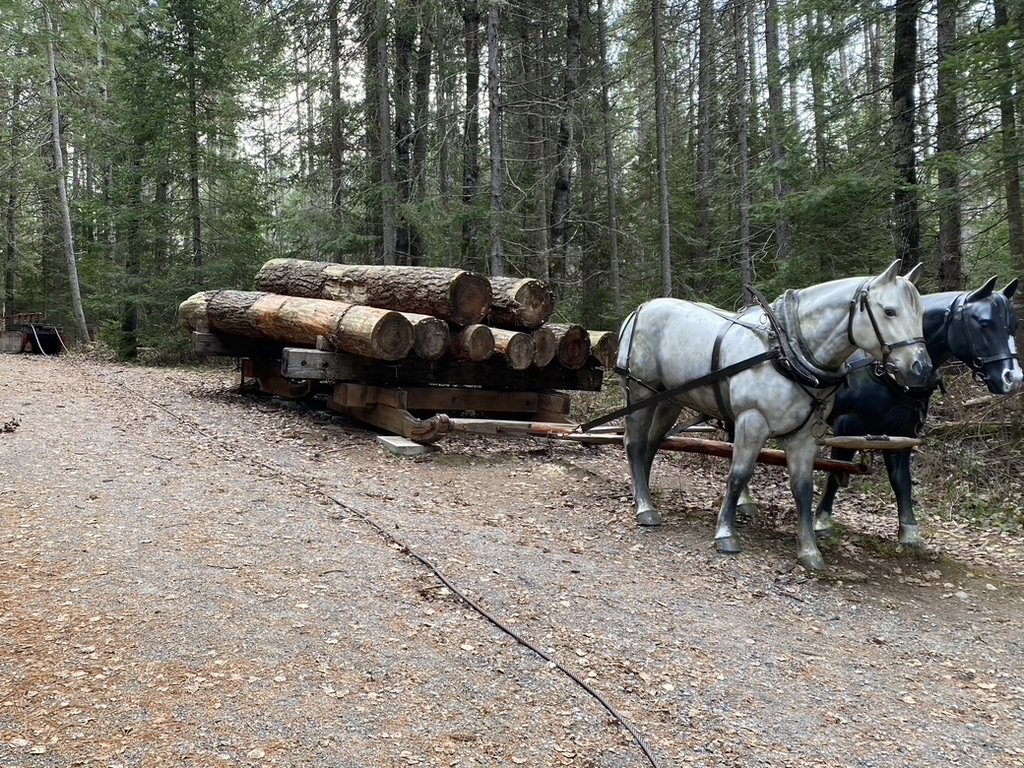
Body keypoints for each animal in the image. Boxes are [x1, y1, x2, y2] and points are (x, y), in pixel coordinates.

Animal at [618, 262, 933, 569]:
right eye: (889, 311)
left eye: (920, 314)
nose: (921, 368)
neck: (784, 353)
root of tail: (639, 309)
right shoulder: (752, 421)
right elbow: (739, 474)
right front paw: (726, 533)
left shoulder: (804, 436)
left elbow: (803, 488)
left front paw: (809, 549)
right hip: (640, 393)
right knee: (634, 443)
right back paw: (645, 507)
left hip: (669, 399)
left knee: (651, 444)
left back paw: (642, 493)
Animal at [811, 276, 1019, 548]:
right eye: (985, 323)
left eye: (1014, 325)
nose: (1013, 378)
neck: (884, 371)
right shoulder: (848, 423)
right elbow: (837, 468)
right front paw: (822, 520)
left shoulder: (902, 433)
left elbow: (901, 481)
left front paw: (909, 532)